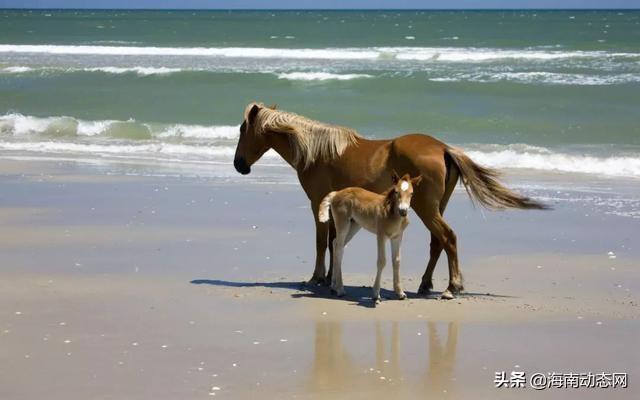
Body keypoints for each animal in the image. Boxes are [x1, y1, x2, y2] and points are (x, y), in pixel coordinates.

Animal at [318, 172, 420, 304]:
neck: (391, 214)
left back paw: (334, 286)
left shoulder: (397, 237)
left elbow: (396, 261)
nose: (403, 211)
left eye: (411, 193)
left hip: (354, 226)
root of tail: (336, 193)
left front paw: (400, 293)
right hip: (343, 224)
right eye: (397, 192)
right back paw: (340, 289)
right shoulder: (381, 236)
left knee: (336, 244)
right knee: (339, 247)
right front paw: (376, 295)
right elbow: (382, 261)